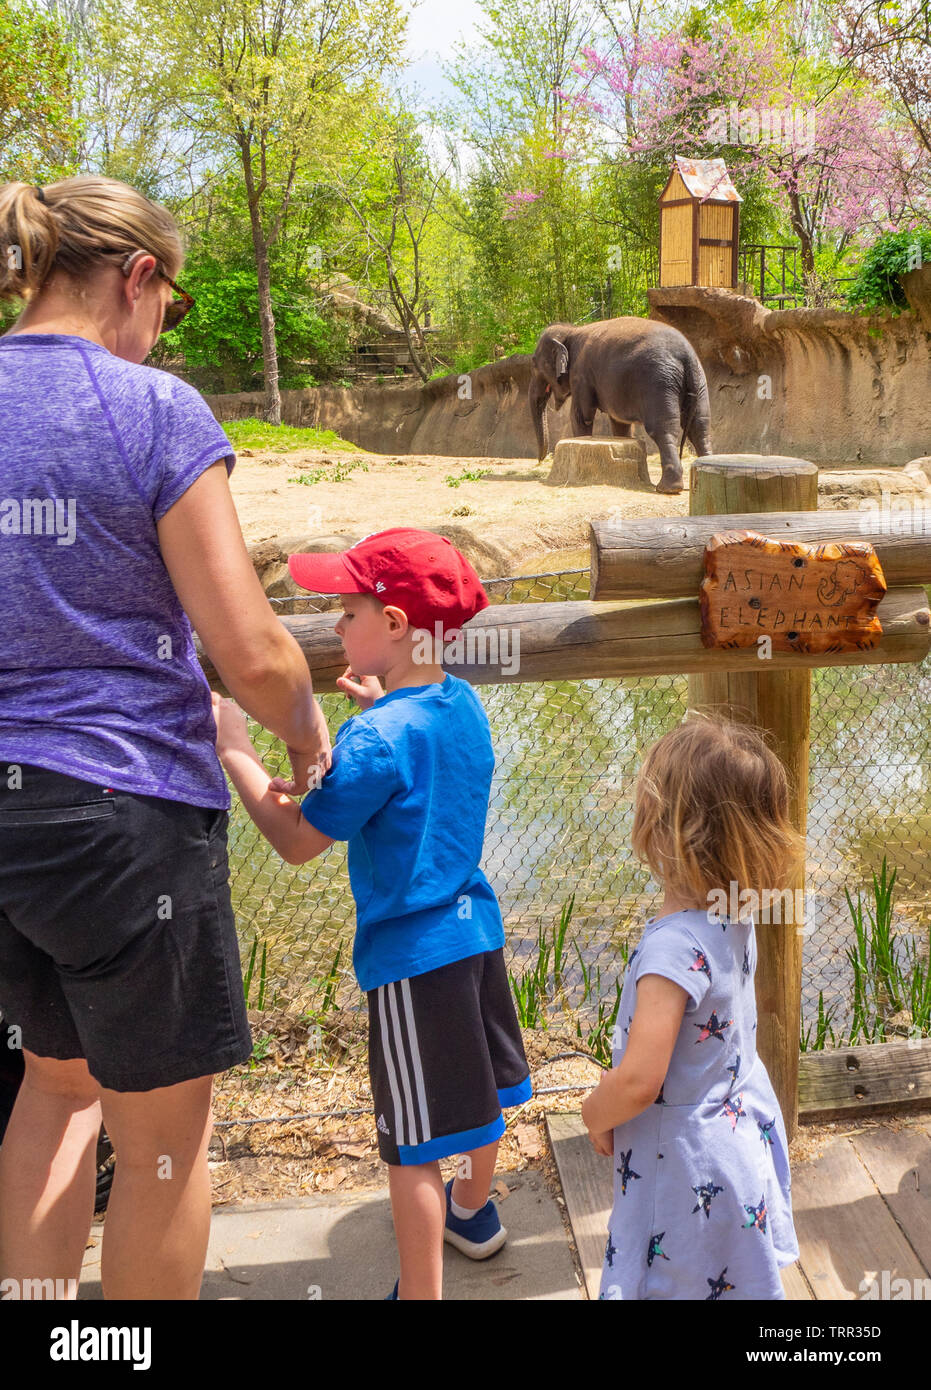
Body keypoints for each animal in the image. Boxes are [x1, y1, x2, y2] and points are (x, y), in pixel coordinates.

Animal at [533, 315, 717, 494]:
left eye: (535, 364)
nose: (539, 462)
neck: (571, 331)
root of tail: (687, 355)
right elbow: (619, 423)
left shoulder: (581, 374)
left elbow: (582, 416)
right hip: (699, 381)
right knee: (699, 427)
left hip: (659, 383)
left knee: (663, 429)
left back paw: (667, 488)